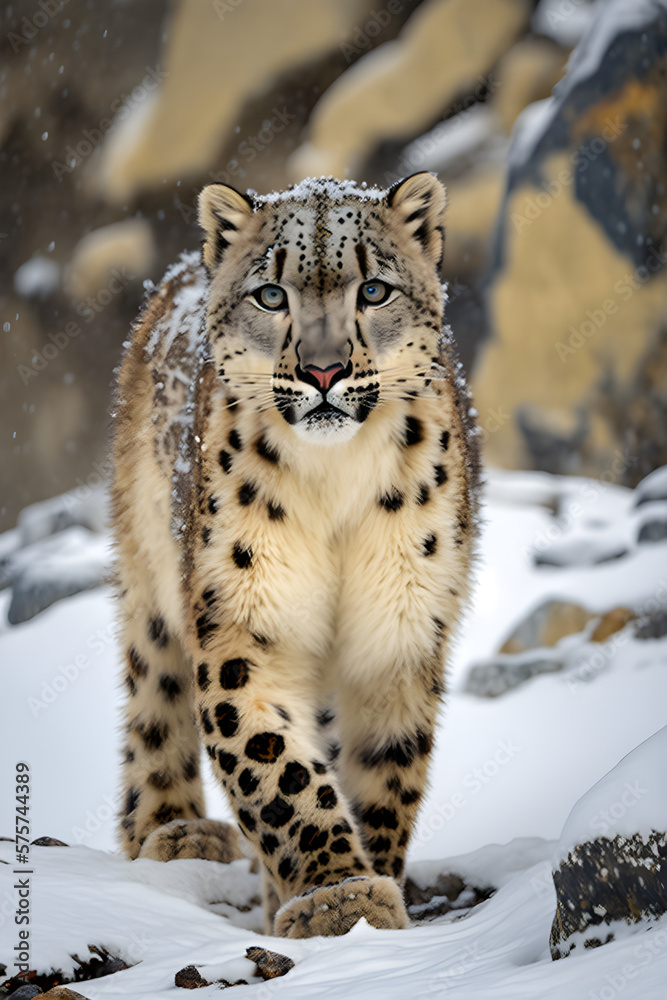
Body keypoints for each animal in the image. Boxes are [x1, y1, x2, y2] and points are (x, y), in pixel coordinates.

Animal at [111, 172, 481, 939]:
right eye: (271, 295)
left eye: (373, 289)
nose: (323, 369)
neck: (334, 483)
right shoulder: (243, 624)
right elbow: (276, 769)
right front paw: (334, 897)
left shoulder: (396, 628)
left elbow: (383, 771)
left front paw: (361, 892)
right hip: (148, 572)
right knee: (153, 698)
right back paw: (174, 835)